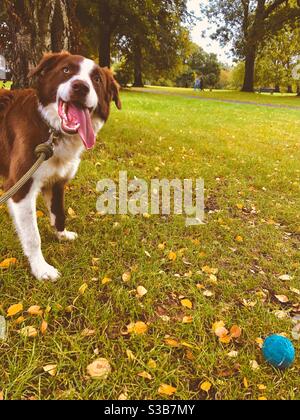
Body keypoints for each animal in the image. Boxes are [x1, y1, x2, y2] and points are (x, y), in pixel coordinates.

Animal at [0, 53, 122, 282]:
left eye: (97, 79)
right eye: (66, 70)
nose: (80, 87)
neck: (52, 129)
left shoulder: (57, 182)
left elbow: (59, 213)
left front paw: (62, 235)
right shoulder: (20, 187)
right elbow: (33, 236)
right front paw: (41, 268)